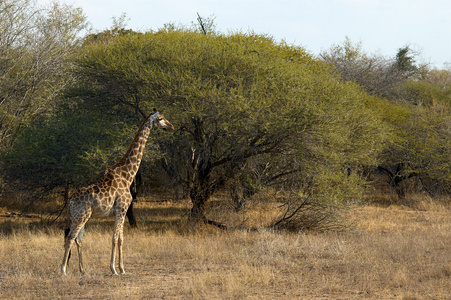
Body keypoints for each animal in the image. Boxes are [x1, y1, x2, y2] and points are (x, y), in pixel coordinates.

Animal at [60, 109, 173, 276]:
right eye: (160, 119)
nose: (171, 126)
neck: (128, 175)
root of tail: (70, 201)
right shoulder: (121, 208)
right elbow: (114, 238)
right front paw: (113, 269)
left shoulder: (123, 211)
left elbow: (121, 239)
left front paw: (122, 269)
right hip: (80, 217)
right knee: (70, 238)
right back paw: (63, 270)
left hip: (81, 217)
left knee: (78, 239)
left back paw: (83, 270)